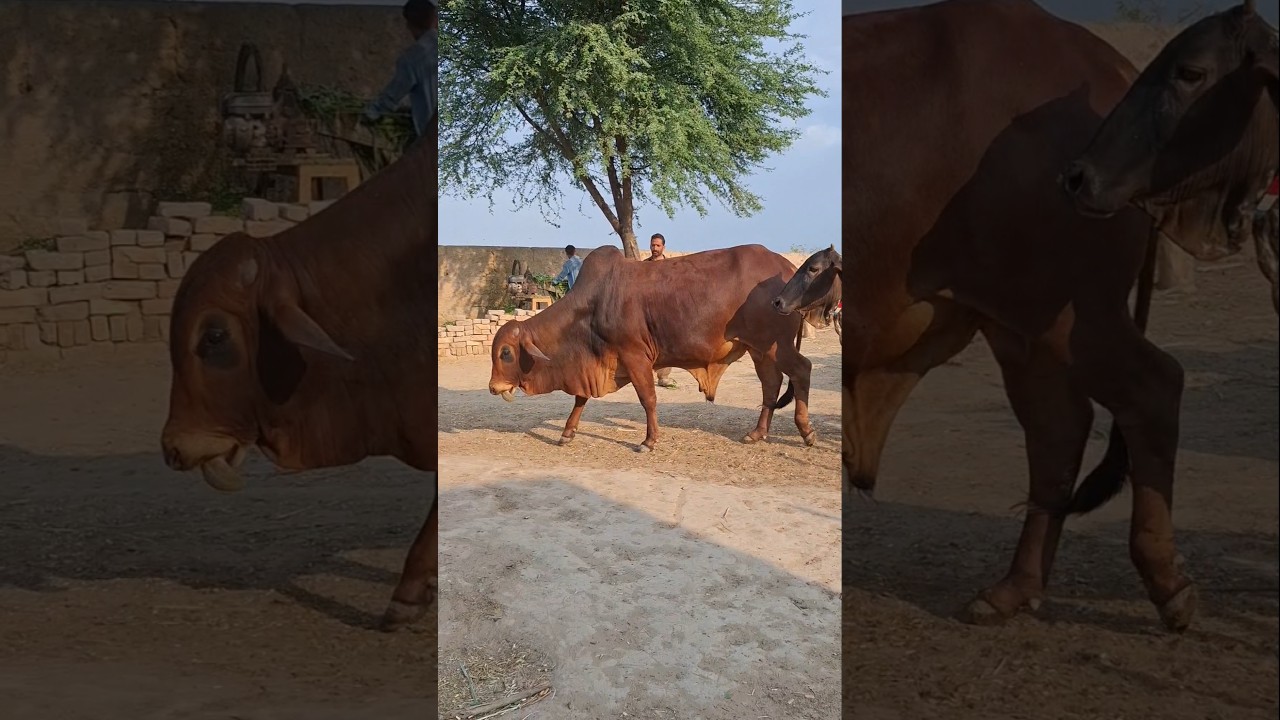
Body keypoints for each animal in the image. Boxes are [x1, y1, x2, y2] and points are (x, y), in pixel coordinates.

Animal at [488, 244, 821, 452]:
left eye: (506, 352)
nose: (493, 387)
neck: (593, 303)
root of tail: (788, 267)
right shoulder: (596, 363)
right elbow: (581, 398)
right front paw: (567, 433)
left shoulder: (635, 355)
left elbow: (648, 399)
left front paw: (649, 441)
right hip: (759, 349)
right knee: (770, 385)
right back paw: (757, 433)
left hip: (776, 346)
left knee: (802, 370)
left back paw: (806, 431)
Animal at [842, 0, 1200, 632]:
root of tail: (1107, 66)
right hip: (1021, 326)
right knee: (1058, 429)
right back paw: (1014, 588)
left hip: (1073, 314)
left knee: (1153, 389)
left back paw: (1168, 582)